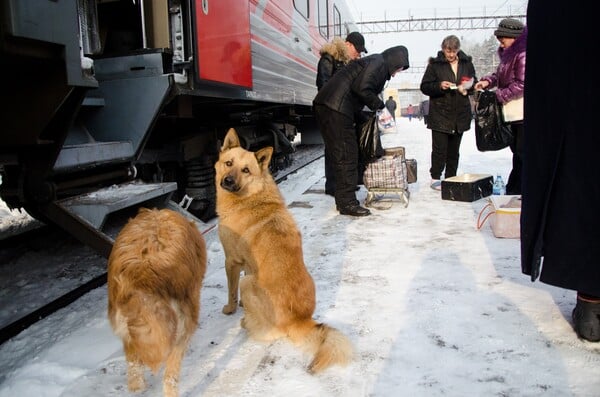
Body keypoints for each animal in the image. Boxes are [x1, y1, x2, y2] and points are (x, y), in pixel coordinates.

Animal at [214, 128, 352, 372]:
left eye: (246, 170)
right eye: (228, 163)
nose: (228, 181)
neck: (251, 196)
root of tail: (299, 320)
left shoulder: (231, 261)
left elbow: (231, 290)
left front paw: (231, 308)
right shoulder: (247, 263)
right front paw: (241, 305)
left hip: (247, 283)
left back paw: (245, 322)